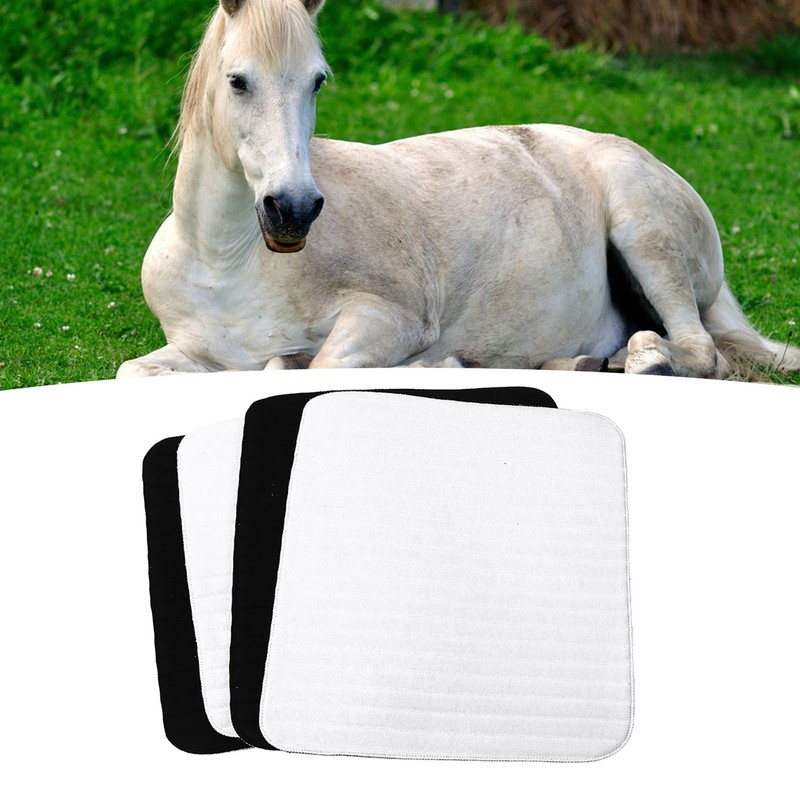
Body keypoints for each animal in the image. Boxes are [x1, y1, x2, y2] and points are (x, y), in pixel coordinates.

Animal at [116, 0, 800, 380]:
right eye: (238, 81)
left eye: (317, 80)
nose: (294, 210)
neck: (225, 261)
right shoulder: (196, 351)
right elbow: (133, 372)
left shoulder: (387, 319)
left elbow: (313, 368)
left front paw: (434, 366)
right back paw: (583, 362)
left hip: (645, 236)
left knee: (700, 351)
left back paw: (645, 359)